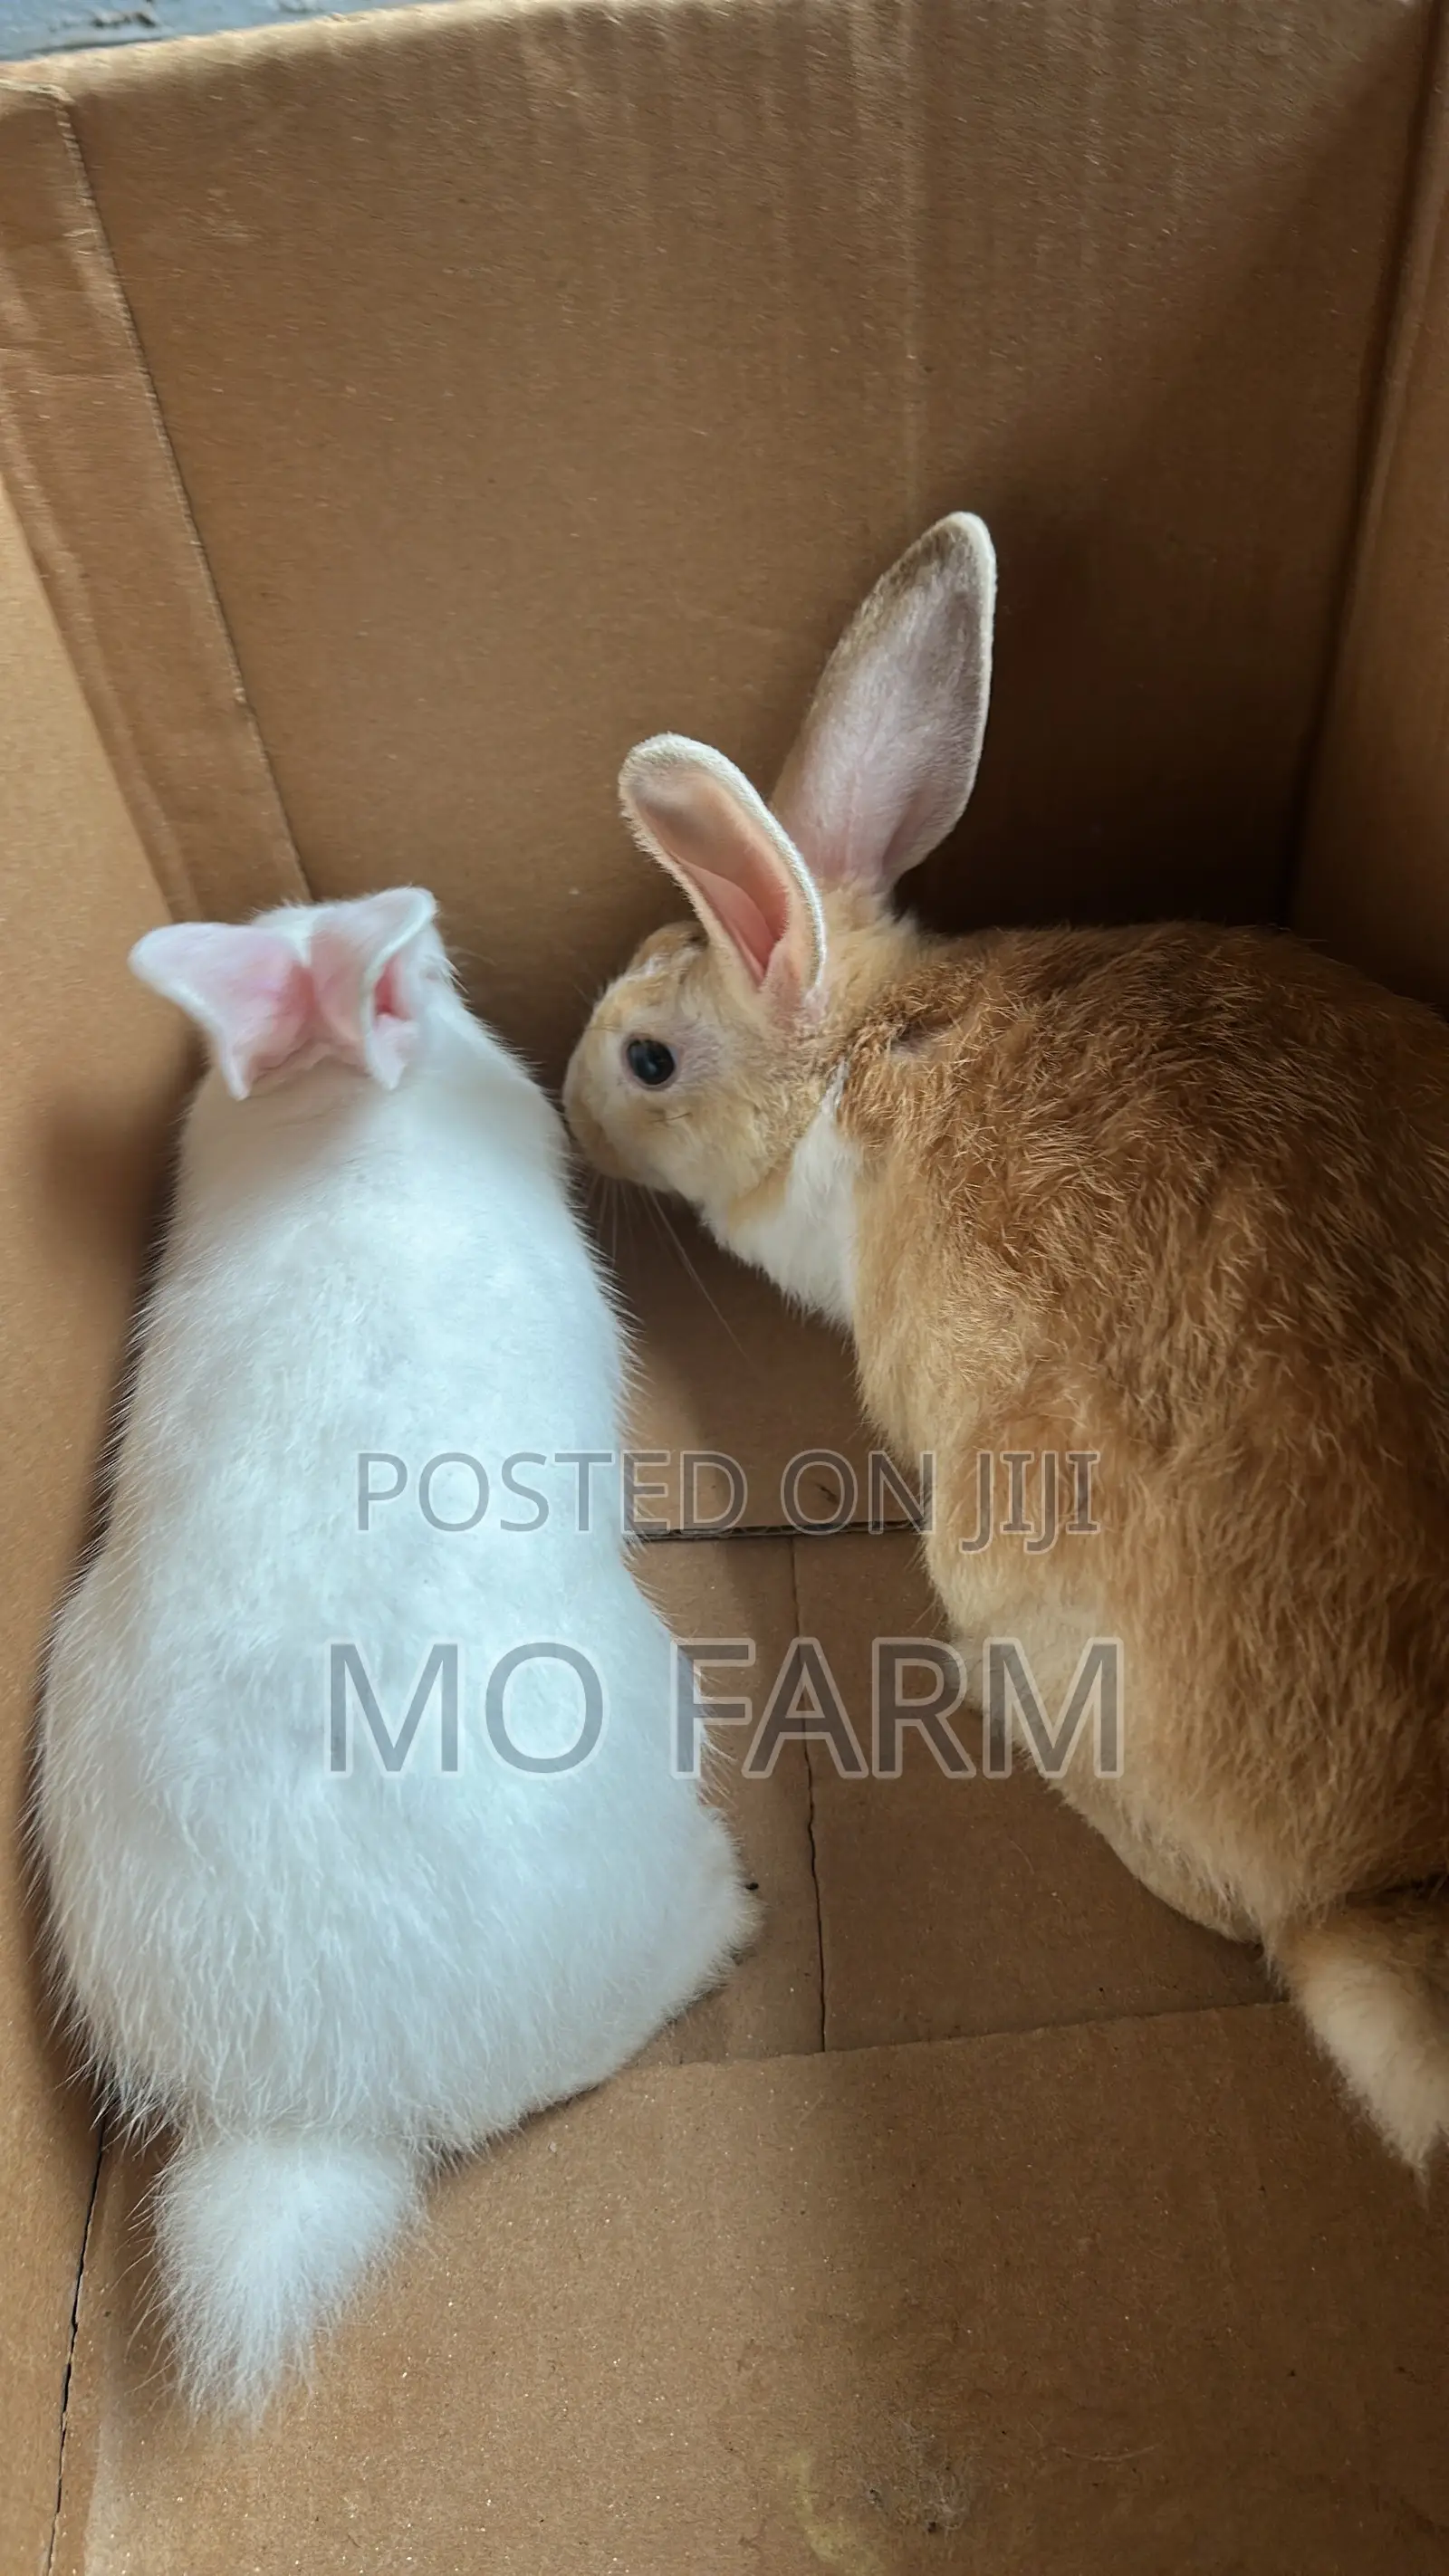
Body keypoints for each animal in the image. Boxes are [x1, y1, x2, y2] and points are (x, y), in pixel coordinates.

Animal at [563, 512, 1449, 2169]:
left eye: (648, 1058)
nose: (567, 1112)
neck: (848, 1050)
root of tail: (1388, 1881)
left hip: (997, 1554)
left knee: (1230, 1910)